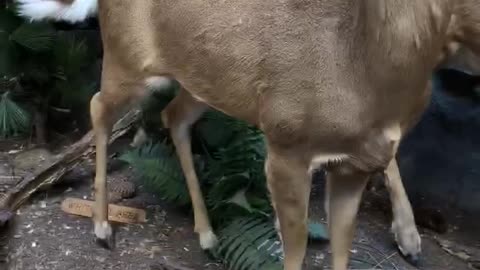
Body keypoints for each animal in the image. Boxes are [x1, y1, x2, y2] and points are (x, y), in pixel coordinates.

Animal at [15, 0, 480, 270]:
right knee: (99, 106)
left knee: (174, 115)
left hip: (206, 79)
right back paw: (102, 228)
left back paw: (207, 235)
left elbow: (341, 249)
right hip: (130, 59)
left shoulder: (354, 164)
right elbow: (295, 249)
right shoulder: (287, 144)